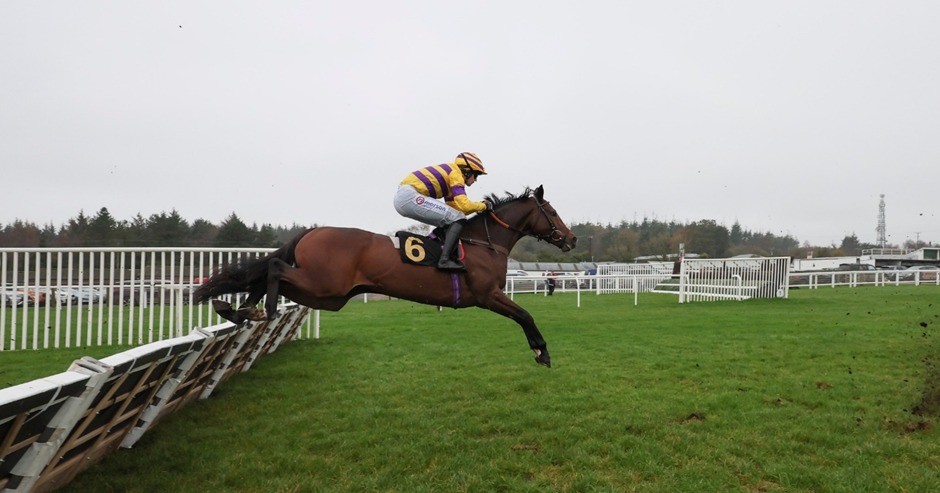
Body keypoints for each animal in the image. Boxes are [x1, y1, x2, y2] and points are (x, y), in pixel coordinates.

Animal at [192, 185, 577, 367]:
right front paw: (542, 351)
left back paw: (239, 310)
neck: (484, 241)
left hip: (327, 296)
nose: (571, 238)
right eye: (552, 211)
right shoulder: (486, 295)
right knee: (273, 269)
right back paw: (262, 309)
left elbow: (524, 314)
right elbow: (525, 314)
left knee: (265, 276)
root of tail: (312, 231)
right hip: (323, 284)